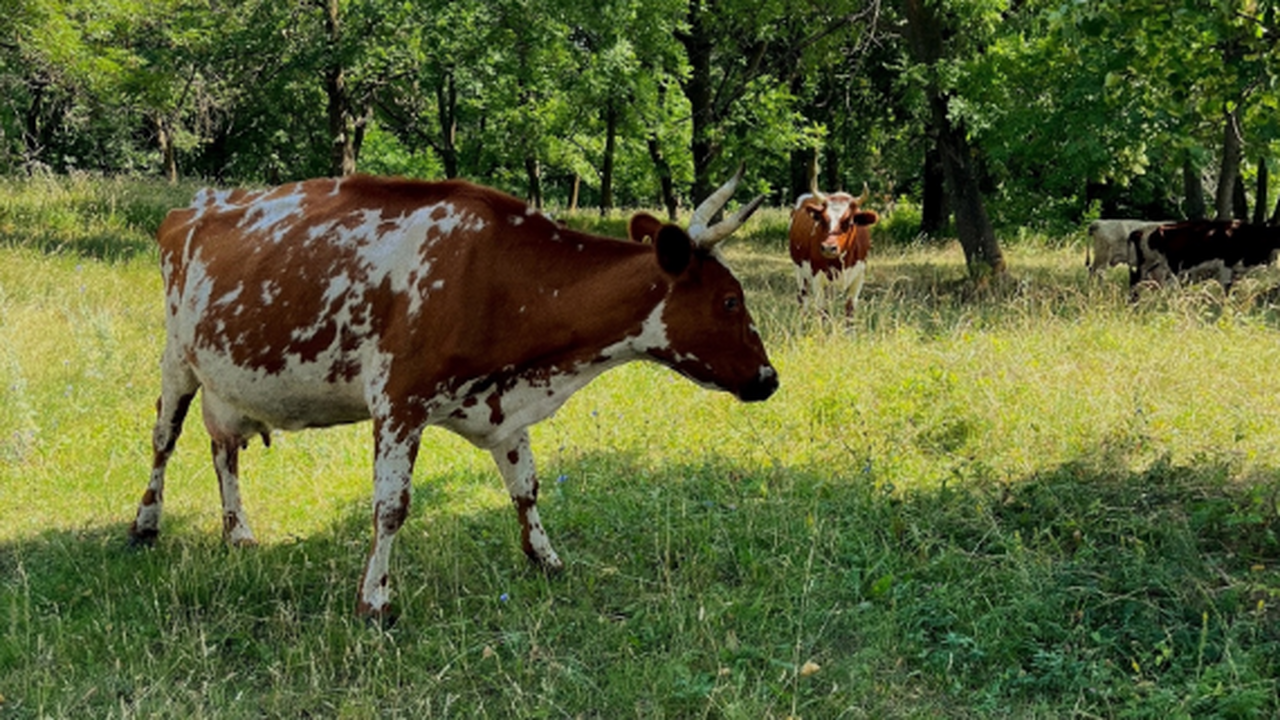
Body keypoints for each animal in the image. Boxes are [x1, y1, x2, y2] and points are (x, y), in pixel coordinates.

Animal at [129, 165, 773, 614]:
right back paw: (146, 524)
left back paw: (237, 531)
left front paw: (545, 558)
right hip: (176, 360)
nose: (770, 378)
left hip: (225, 381)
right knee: (164, 438)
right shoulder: (398, 401)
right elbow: (391, 507)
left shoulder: (501, 406)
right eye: (729, 301)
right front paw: (375, 601)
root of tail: (194, 206)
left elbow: (526, 489)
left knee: (224, 449)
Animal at [1131, 219, 1280, 288]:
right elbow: (1226, 286)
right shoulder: (1227, 263)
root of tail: (1141, 230)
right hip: (1170, 267)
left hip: (1150, 264)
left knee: (1137, 281)